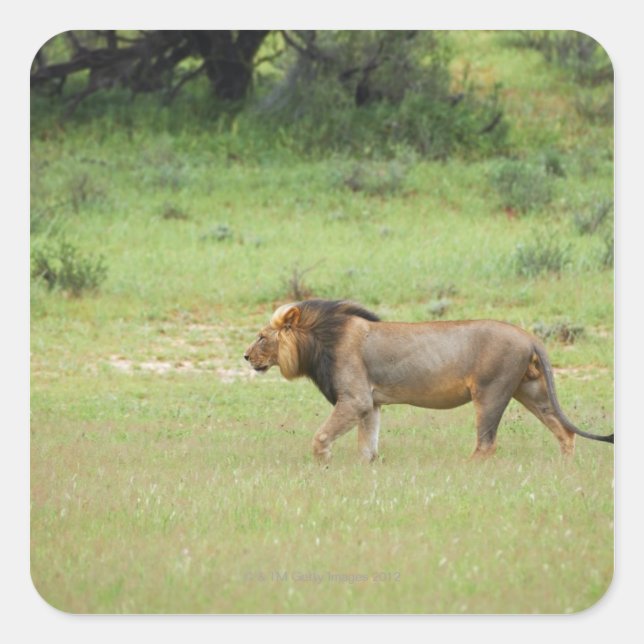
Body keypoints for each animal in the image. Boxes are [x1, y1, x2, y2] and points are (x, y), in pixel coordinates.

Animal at [243, 299, 614, 463]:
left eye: (261, 337)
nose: (245, 357)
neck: (321, 341)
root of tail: (529, 335)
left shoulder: (355, 398)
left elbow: (320, 437)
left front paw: (323, 465)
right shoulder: (370, 404)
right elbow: (367, 445)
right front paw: (364, 470)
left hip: (491, 392)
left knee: (486, 443)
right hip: (531, 389)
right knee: (564, 430)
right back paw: (565, 467)